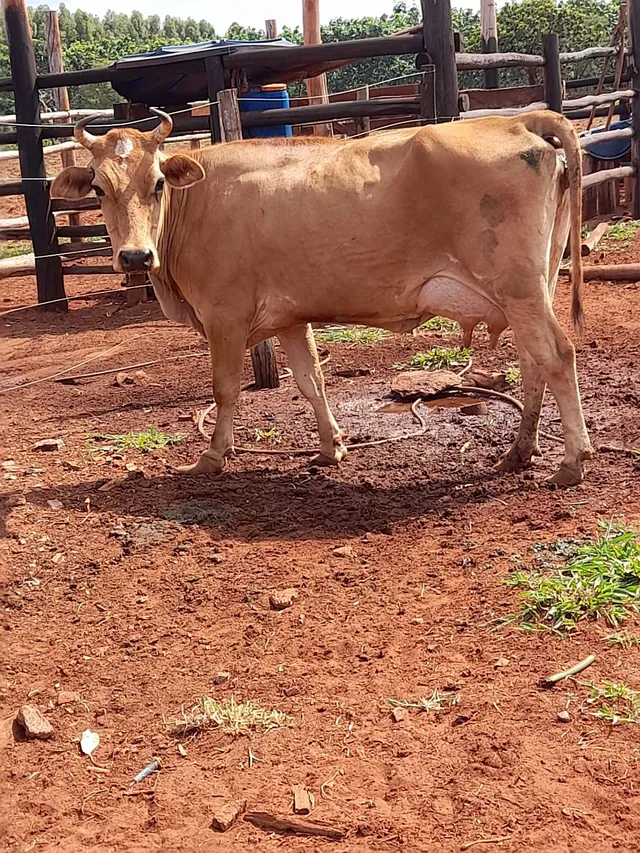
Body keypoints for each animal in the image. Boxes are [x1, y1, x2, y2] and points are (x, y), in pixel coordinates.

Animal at [51, 108, 593, 486]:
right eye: (98, 188)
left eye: (158, 183)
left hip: (519, 289)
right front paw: (332, 448)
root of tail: (518, 119)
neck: (198, 203)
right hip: (534, 286)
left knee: (557, 355)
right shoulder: (291, 316)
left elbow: (225, 389)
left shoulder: (225, 315)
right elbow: (311, 381)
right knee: (533, 363)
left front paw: (211, 458)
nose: (135, 257)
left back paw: (572, 461)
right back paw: (518, 452)